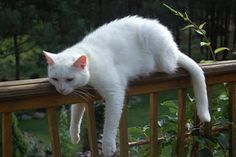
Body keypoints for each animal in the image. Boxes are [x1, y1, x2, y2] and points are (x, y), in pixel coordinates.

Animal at [43, 15, 210, 156]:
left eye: (69, 79)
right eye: (55, 79)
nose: (61, 90)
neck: (90, 56)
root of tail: (174, 47)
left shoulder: (114, 92)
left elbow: (110, 123)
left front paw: (108, 146)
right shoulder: (81, 93)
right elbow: (76, 114)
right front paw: (74, 135)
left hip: (162, 56)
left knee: (172, 63)